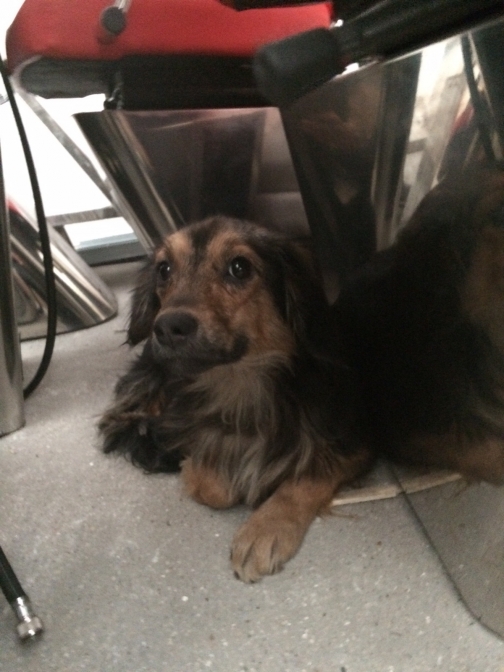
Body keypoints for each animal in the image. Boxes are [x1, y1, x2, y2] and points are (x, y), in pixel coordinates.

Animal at [99, 215, 371, 582]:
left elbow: (305, 479)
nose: (168, 327)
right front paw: (197, 467)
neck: (239, 384)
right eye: (164, 269)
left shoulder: (352, 445)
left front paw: (265, 529)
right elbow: (213, 487)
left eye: (239, 268)